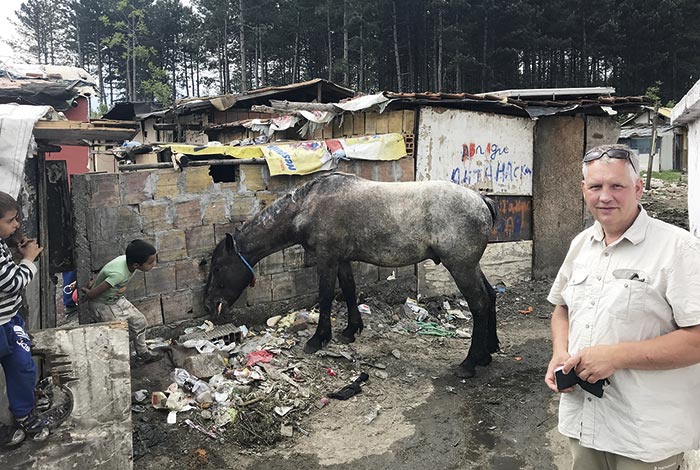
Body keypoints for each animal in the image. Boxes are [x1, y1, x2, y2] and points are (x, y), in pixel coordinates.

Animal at [202, 172, 498, 378]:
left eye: (217, 268)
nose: (208, 304)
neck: (307, 205)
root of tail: (481, 200)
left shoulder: (327, 259)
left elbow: (325, 296)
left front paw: (318, 338)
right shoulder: (342, 260)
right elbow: (348, 290)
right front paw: (351, 330)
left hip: (461, 266)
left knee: (479, 304)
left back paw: (470, 362)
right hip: (470, 266)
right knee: (491, 296)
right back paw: (488, 351)